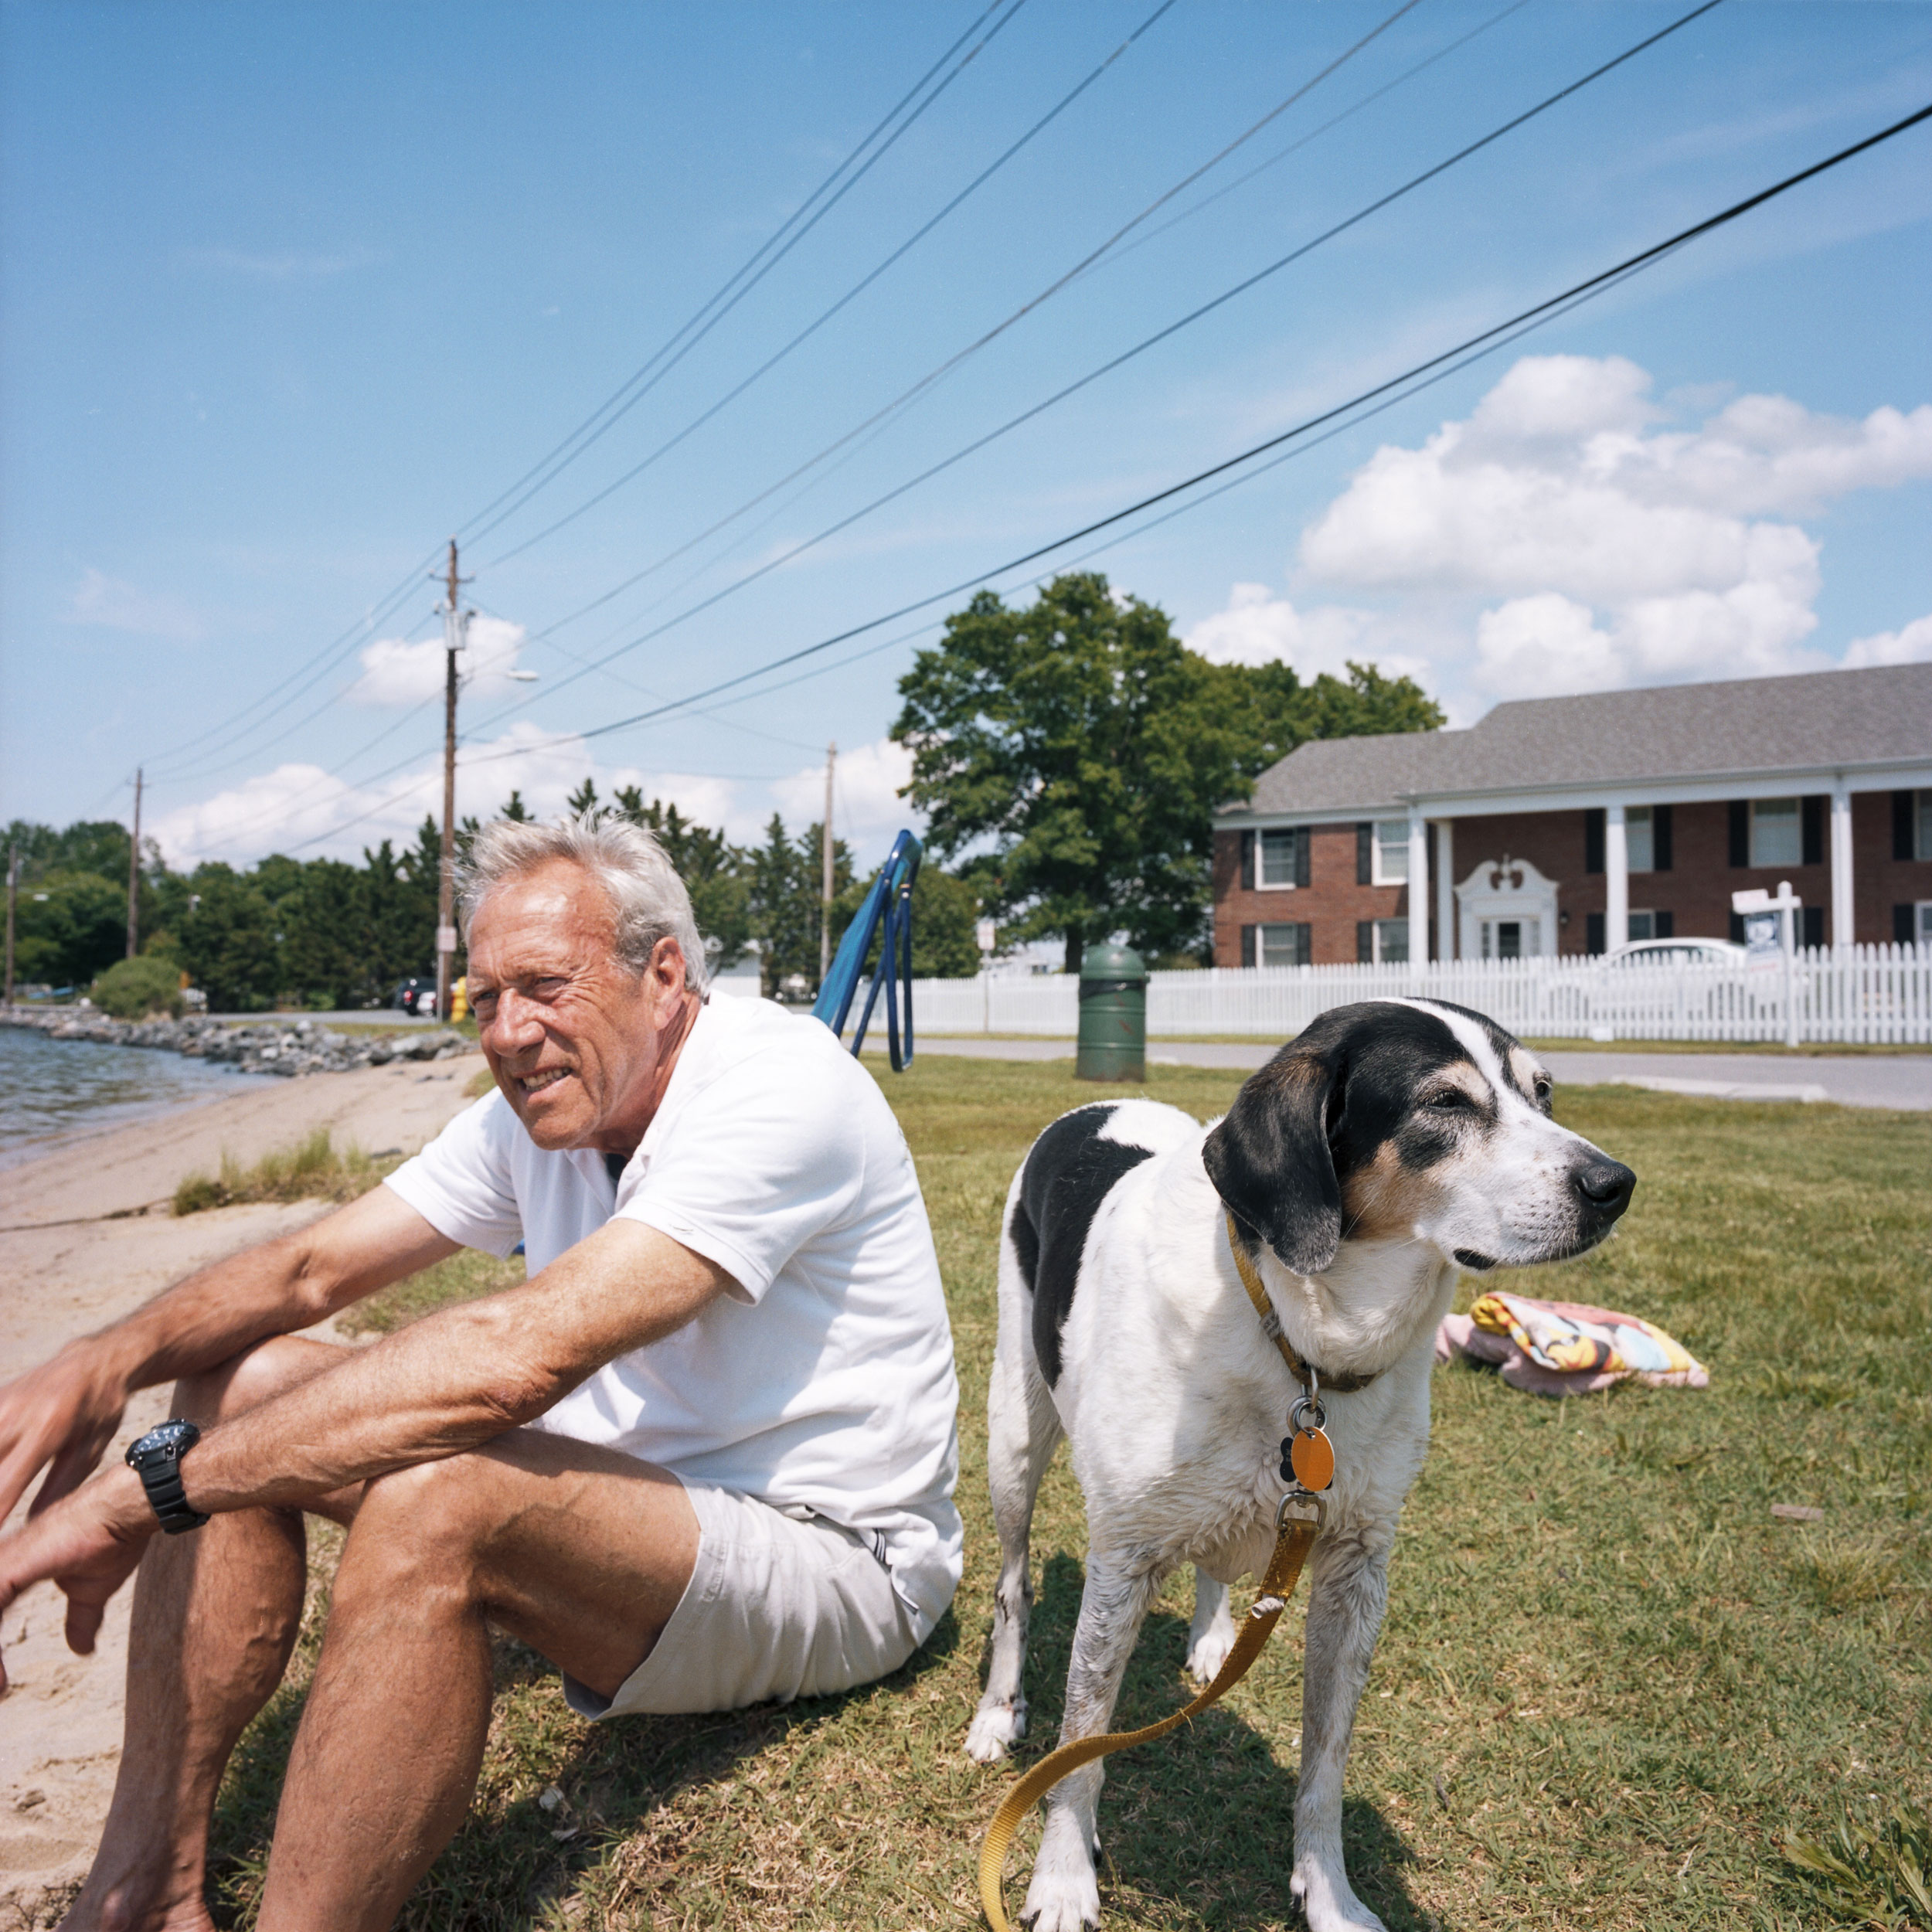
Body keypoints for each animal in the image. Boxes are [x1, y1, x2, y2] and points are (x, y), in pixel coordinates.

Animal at [966, 1005, 1631, 1924]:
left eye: (1543, 1092)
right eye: (1444, 1103)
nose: (1615, 1183)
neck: (1305, 1344)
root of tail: (1097, 1103)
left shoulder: (1356, 1566)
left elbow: (1325, 1760)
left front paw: (1329, 1894)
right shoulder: (1121, 1557)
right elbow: (1081, 1740)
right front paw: (1062, 1878)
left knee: (1210, 1565)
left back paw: (1213, 1638)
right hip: (1015, 1435)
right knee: (1012, 1586)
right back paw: (998, 1711)